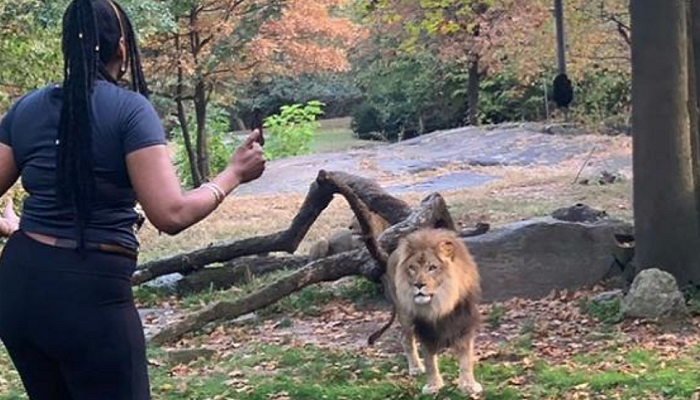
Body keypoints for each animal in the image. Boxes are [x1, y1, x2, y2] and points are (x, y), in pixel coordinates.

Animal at [372, 230, 482, 396]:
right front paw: (433, 386)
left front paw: (468, 385)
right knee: (406, 339)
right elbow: (430, 360)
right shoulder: (424, 328)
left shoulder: (464, 323)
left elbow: (466, 359)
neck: (440, 303)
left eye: (432, 267)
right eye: (412, 268)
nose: (418, 284)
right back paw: (416, 367)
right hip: (405, 314)